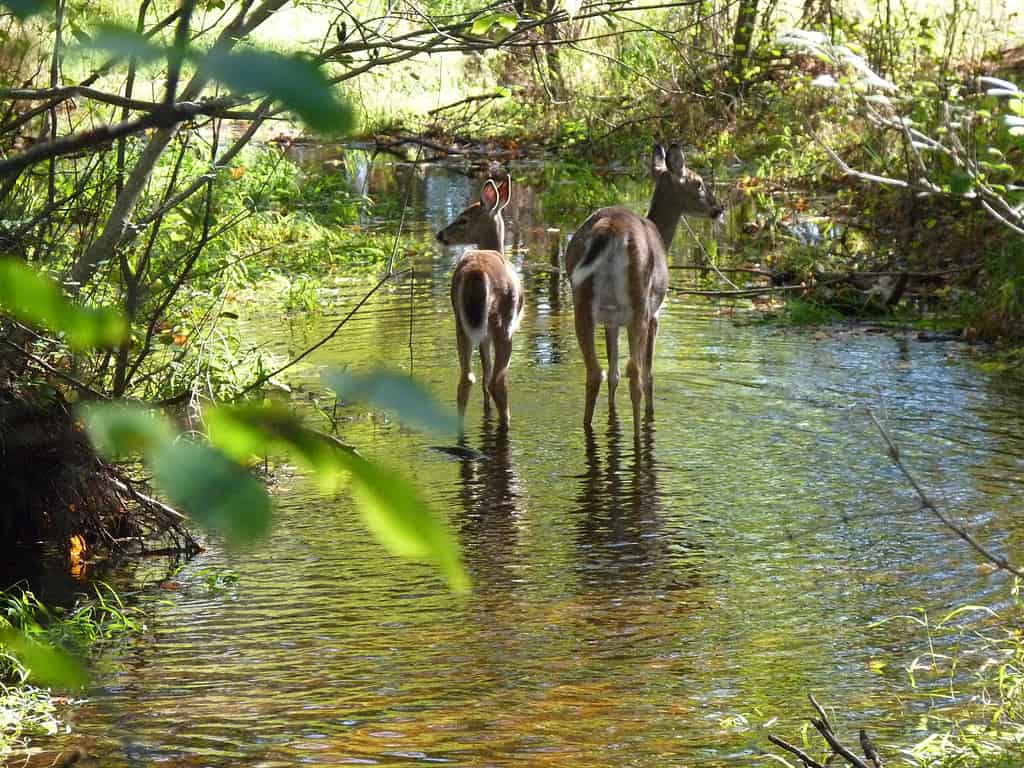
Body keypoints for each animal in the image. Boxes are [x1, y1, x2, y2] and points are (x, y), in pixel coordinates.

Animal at [436, 177, 524, 436]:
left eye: (463, 219)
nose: (440, 235)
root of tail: (476, 273)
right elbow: (490, 374)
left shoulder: (482, 334)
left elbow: (485, 369)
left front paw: (486, 408)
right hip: (503, 323)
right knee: (498, 381)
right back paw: (506, 424)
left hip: (461, 323)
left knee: (468, 377)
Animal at [565, 141, 724, 436]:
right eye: (698, 183)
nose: (719, 207)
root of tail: (609, 229)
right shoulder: (655, 315)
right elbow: (648, 373)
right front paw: (651, 413)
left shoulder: (611, 320)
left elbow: (613, 373)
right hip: (639, 301)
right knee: (635, 372)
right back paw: (639, 435)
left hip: (582, 302)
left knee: (596, 371)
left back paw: (588, 427)